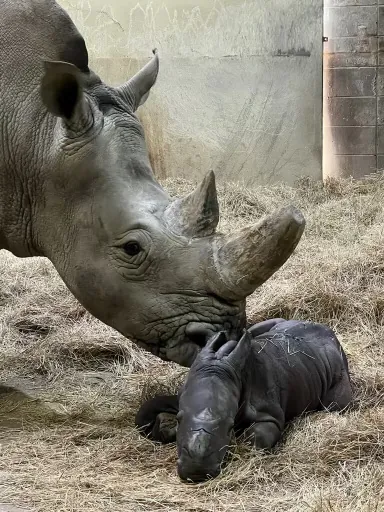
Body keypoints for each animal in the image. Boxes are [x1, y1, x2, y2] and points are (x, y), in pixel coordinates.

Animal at [136, 318, 352, 482]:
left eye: (230, 426)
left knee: (337, 404)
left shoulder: (269, 413)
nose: (196, 472)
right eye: (180, 419)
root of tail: (330, 334)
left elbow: (256, 437)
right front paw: (165, 428)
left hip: (337, 370)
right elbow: (145, 412)